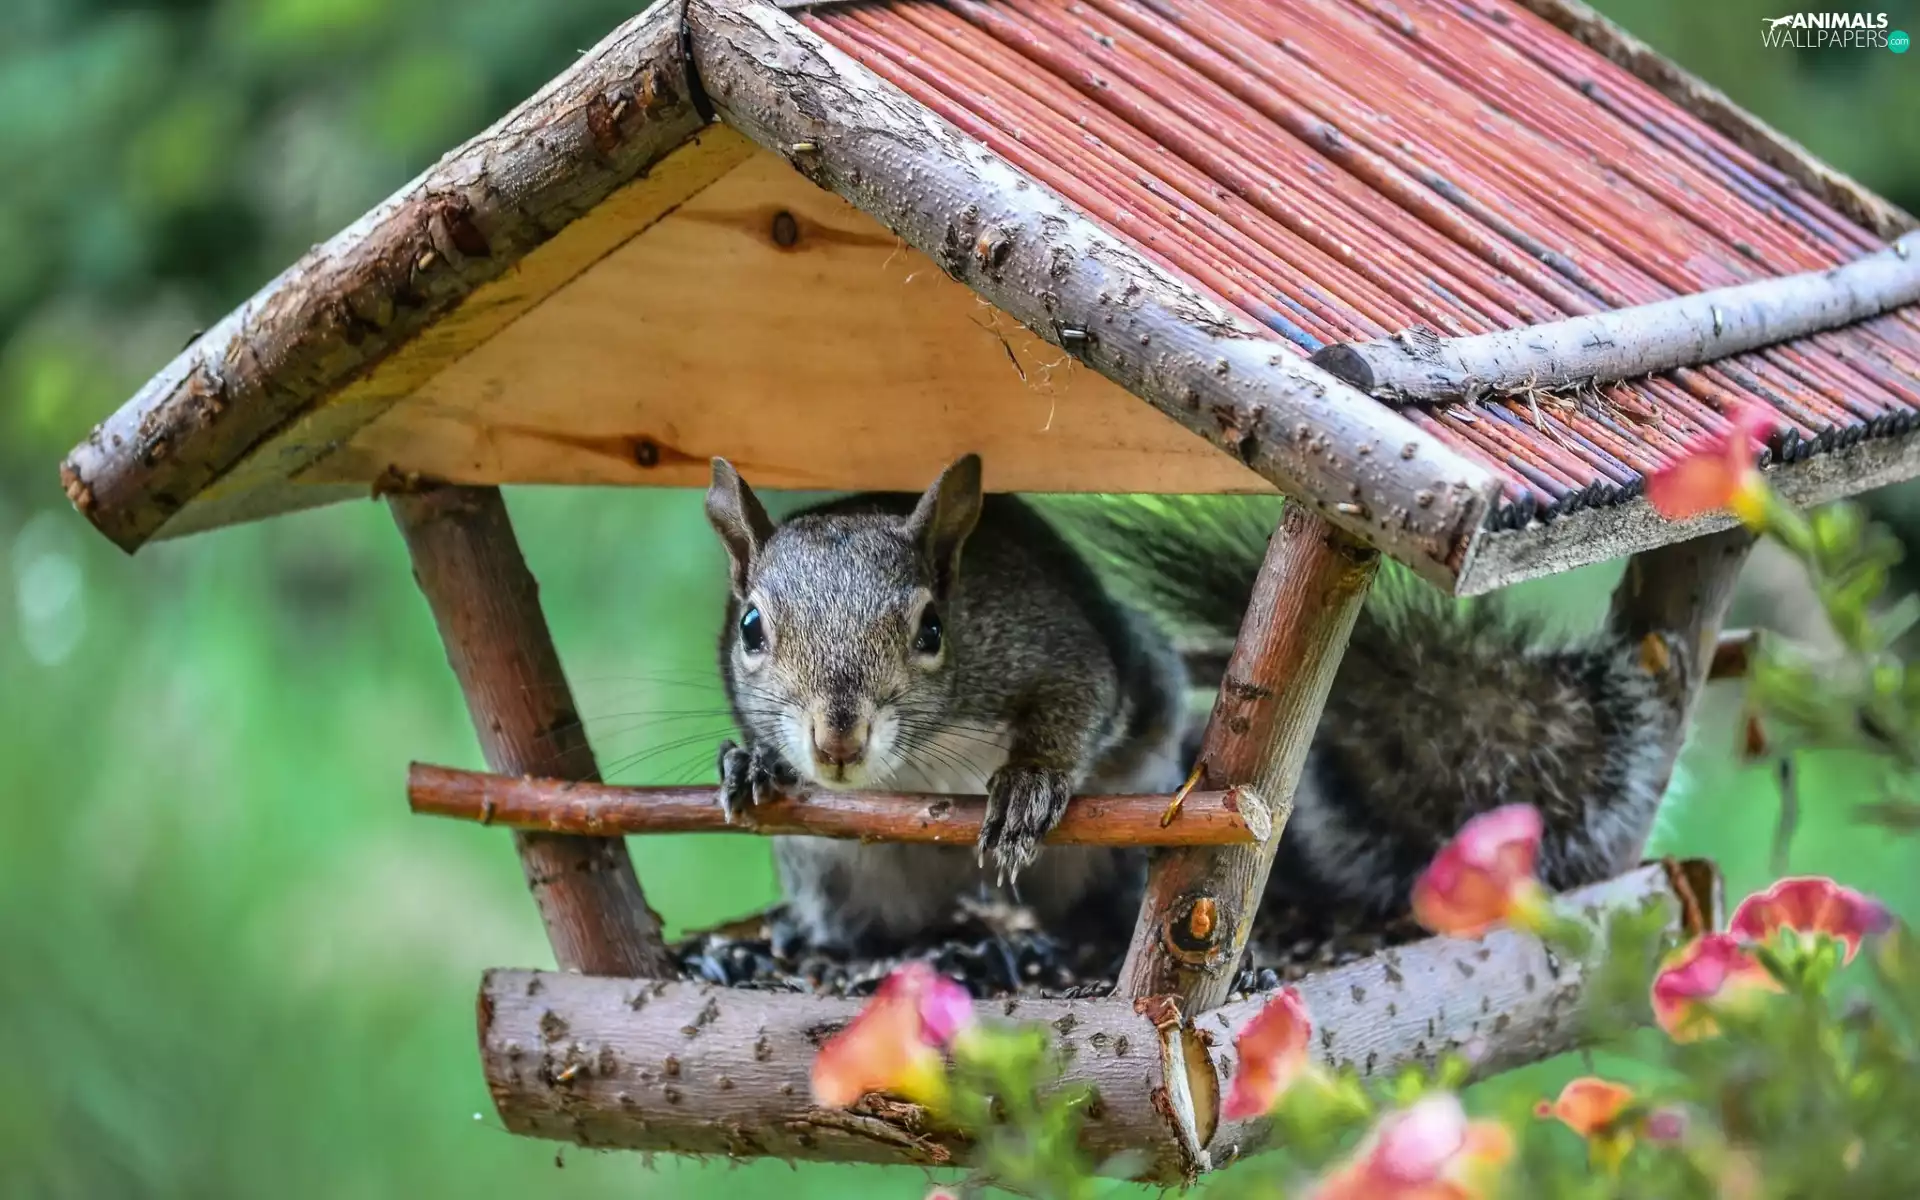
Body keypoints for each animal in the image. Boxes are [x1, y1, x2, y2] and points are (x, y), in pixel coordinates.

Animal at [705, 456, 1675, 953]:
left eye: (932, 628)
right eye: (749, 627)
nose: (835, 740)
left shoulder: (1051, 643)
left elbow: (1078, 702)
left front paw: (1027, 786)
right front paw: (747, 763)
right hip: (839, 878)